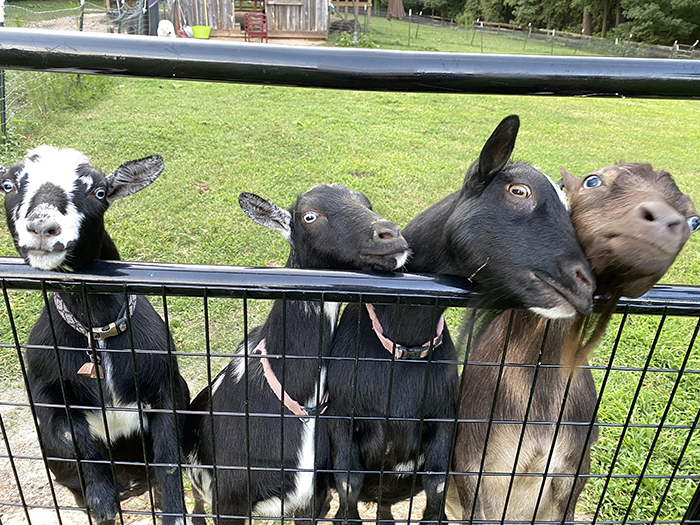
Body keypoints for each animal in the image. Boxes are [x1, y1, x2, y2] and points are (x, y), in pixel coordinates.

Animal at [0, 146, 190, 525]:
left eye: (99, 192)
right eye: (8, 184)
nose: (42, 227)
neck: (98, 331)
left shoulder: (167, 386)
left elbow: (168, 456)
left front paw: (176, 513)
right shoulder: (44, 390)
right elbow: (72, 435)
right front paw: (102, 500)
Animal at [326, 115, 595, 524]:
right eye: (519, 191)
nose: (586, 283)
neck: (404, 347)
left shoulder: (443, 424)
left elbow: (437, 485)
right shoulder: (341, 417)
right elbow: (347, 483)